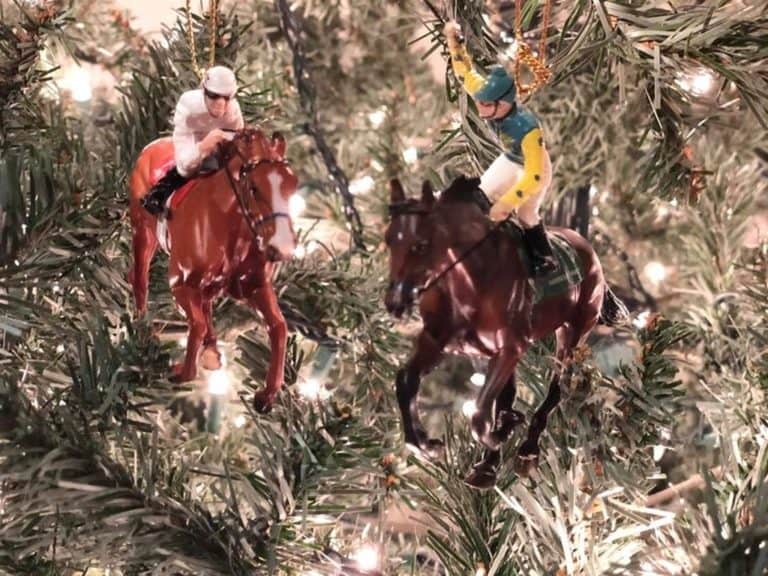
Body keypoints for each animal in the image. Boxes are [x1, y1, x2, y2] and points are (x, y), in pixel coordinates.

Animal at [127, 126, 298, 412]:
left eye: (293, 185)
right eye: (254, 188)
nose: (282, 247)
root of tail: (150, 146)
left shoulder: (255, 287)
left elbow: (278, 326)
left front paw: (267, 394)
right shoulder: (180, 284)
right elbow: (195, 324)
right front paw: (180, 372)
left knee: (206, 303)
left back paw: (210, 348)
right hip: (143, 233)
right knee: (140, 280)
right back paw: (143, 333)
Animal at [383, 175, 628, 489]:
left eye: (420, 245)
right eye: (389, 240)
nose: (395, 302)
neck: (473, 278)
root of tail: (589, 249)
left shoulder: (512, 347)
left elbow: (479, 415)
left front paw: (504, 431)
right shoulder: (438, 341)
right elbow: (406, 380)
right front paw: (425, 444)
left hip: (572, 333)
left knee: (556, 388)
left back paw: (527, 452)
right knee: (508, 394)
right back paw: (490, 463)